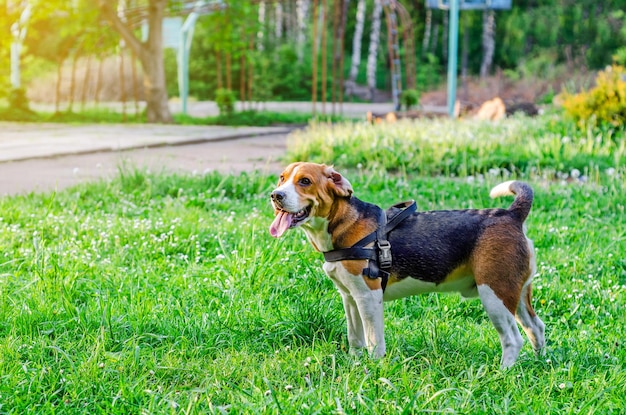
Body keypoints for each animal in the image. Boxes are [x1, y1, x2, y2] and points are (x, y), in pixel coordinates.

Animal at [270, 162, 544, 368]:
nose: (275, 195)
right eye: (281, 179)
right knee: (536, 328)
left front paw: (373, 368)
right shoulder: (349, 297)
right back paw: (541, 363)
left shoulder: (369, 297)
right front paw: (355, 364)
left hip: (494, 294)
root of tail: (512, 214)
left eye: (305, 181)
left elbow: (373, 341)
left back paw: (502, 373)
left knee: (513, 339)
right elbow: (355, 338)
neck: (341, 223)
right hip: (516, 293)